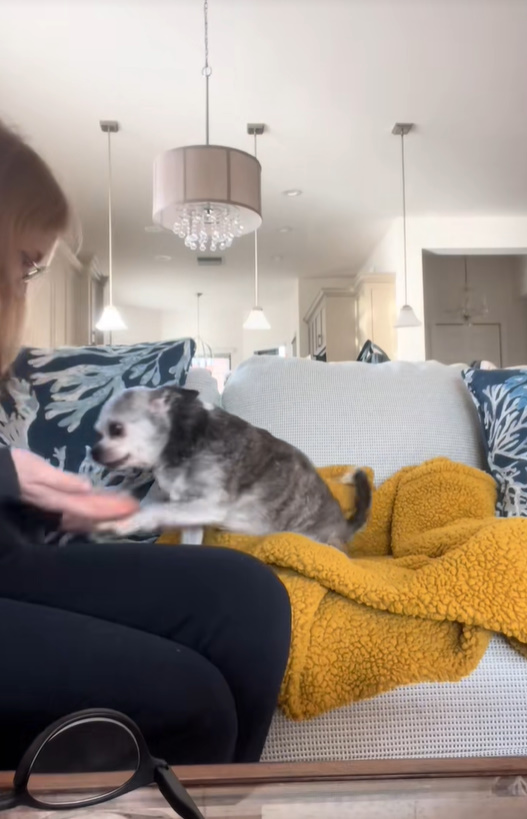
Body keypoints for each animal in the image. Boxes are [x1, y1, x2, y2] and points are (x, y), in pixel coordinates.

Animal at [92, 384, 372, 552]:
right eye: (98, 432)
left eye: (116, 429)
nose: (94, 451)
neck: (184, 438)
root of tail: (343, 527)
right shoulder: (191, 511)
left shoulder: (211, 504)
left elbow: (157, 509)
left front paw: (126, 520)